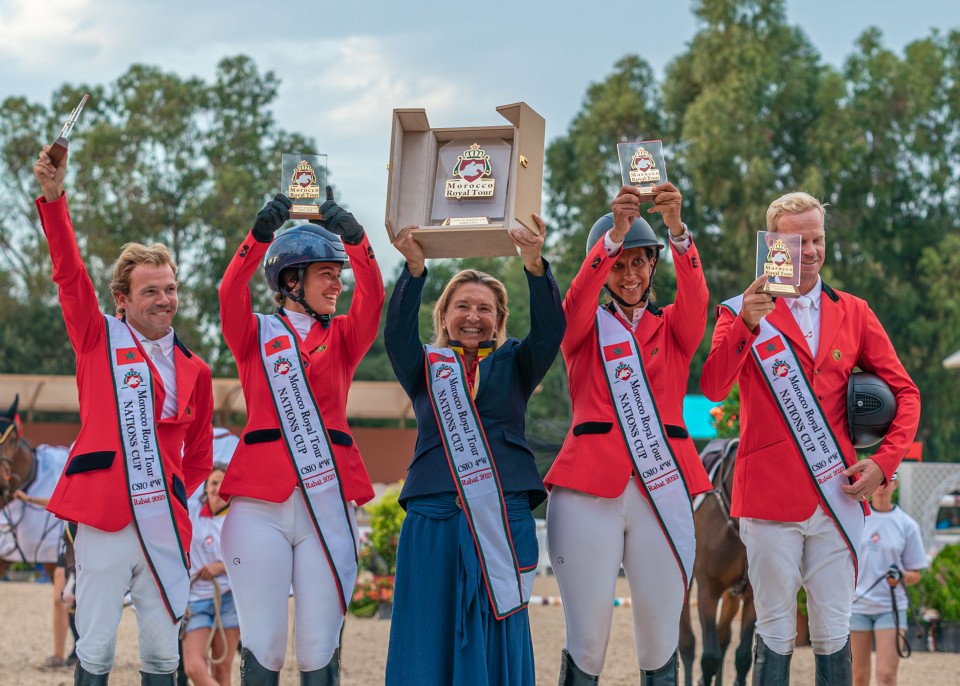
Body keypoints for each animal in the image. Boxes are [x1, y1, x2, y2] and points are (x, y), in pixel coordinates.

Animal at [680, 440, 752, 686]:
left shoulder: (752, 597)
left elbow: (743, 657)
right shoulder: (708, 592)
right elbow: (709, 657)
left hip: (731, 596)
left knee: (724, 638)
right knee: (688, 644)